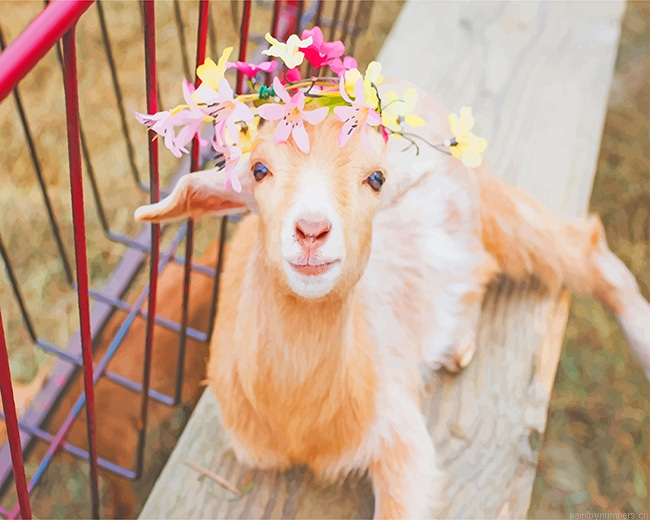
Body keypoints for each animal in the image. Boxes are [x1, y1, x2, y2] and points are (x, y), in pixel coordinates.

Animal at [134, 80, 650, 519]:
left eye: (376, 178)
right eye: (259, 170)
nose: (312, 230)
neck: (302, 424)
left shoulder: (403, 439)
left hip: (496, 207)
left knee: (585, 249)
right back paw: (457, 344)